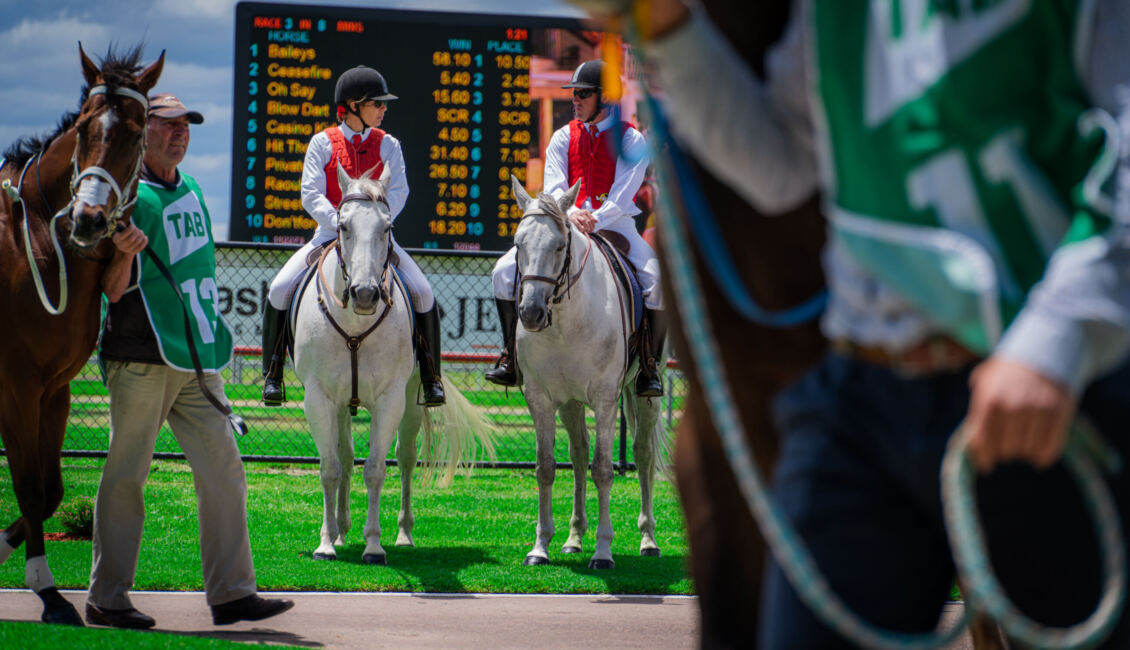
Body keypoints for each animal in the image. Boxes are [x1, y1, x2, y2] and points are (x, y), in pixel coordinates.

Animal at [0, 45, 162, 625]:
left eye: (136, 134)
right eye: (86, 128)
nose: (89, 220)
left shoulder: (54, 389)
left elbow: (49, 490)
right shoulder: (16, 386)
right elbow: (28, 486)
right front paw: (48, 592)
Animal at [291, 163, 495, 564]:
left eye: (387, 227)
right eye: (343, 226)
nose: (366, 294)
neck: (355, 324)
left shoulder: (390, 400)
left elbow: (375, 469)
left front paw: (374, 544)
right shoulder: (318, 399)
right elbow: (330, 467)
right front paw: (326, 543)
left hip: (412, 401)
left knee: (405, 460)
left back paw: (403, 534)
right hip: (341, 405)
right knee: (344, 456)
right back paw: (340, 531)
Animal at [510, 176, 669, 570]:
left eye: (558, 245)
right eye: (518, 244)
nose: (531, 312)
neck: (566, 323)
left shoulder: (605, 400)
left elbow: (604, 470)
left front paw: (603, 551)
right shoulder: (541, 398)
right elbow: (547, 467)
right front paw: (540, 547)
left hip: (646, 397)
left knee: (643, 455)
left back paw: (648, 540)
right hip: (570, 402)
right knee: (579, 454)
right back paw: (573, 539)